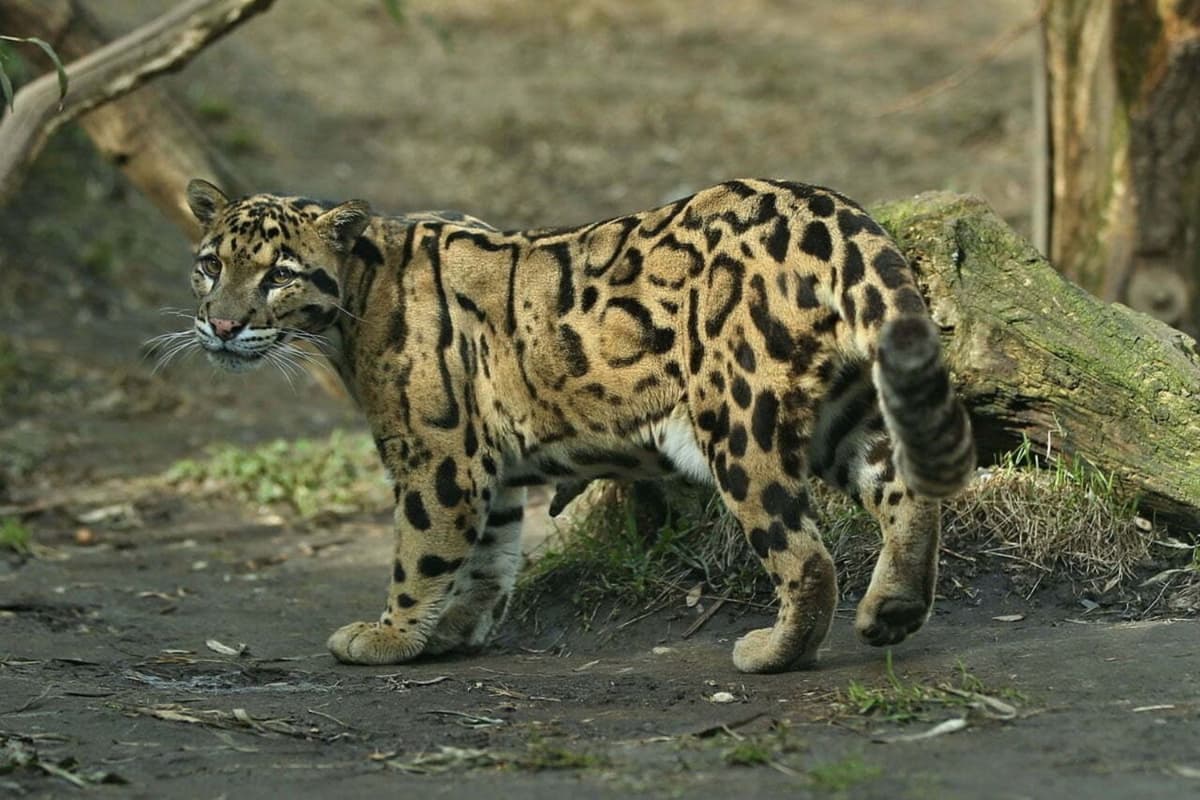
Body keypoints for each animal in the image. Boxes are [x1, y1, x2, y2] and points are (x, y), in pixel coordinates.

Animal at [180, 177, 975, 673]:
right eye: (210, 264)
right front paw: (455, 631)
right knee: (907, 489)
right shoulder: (486, 464)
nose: (220, 325)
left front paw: (391, 635)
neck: (359, 294)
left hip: (739, 417)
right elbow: (490, 554)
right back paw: (893, 609)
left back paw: (775, 652)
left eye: (280, 274)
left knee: (805, 556)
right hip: (845, 408)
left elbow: (422, 550)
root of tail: (829, 207)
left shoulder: (439, 454)